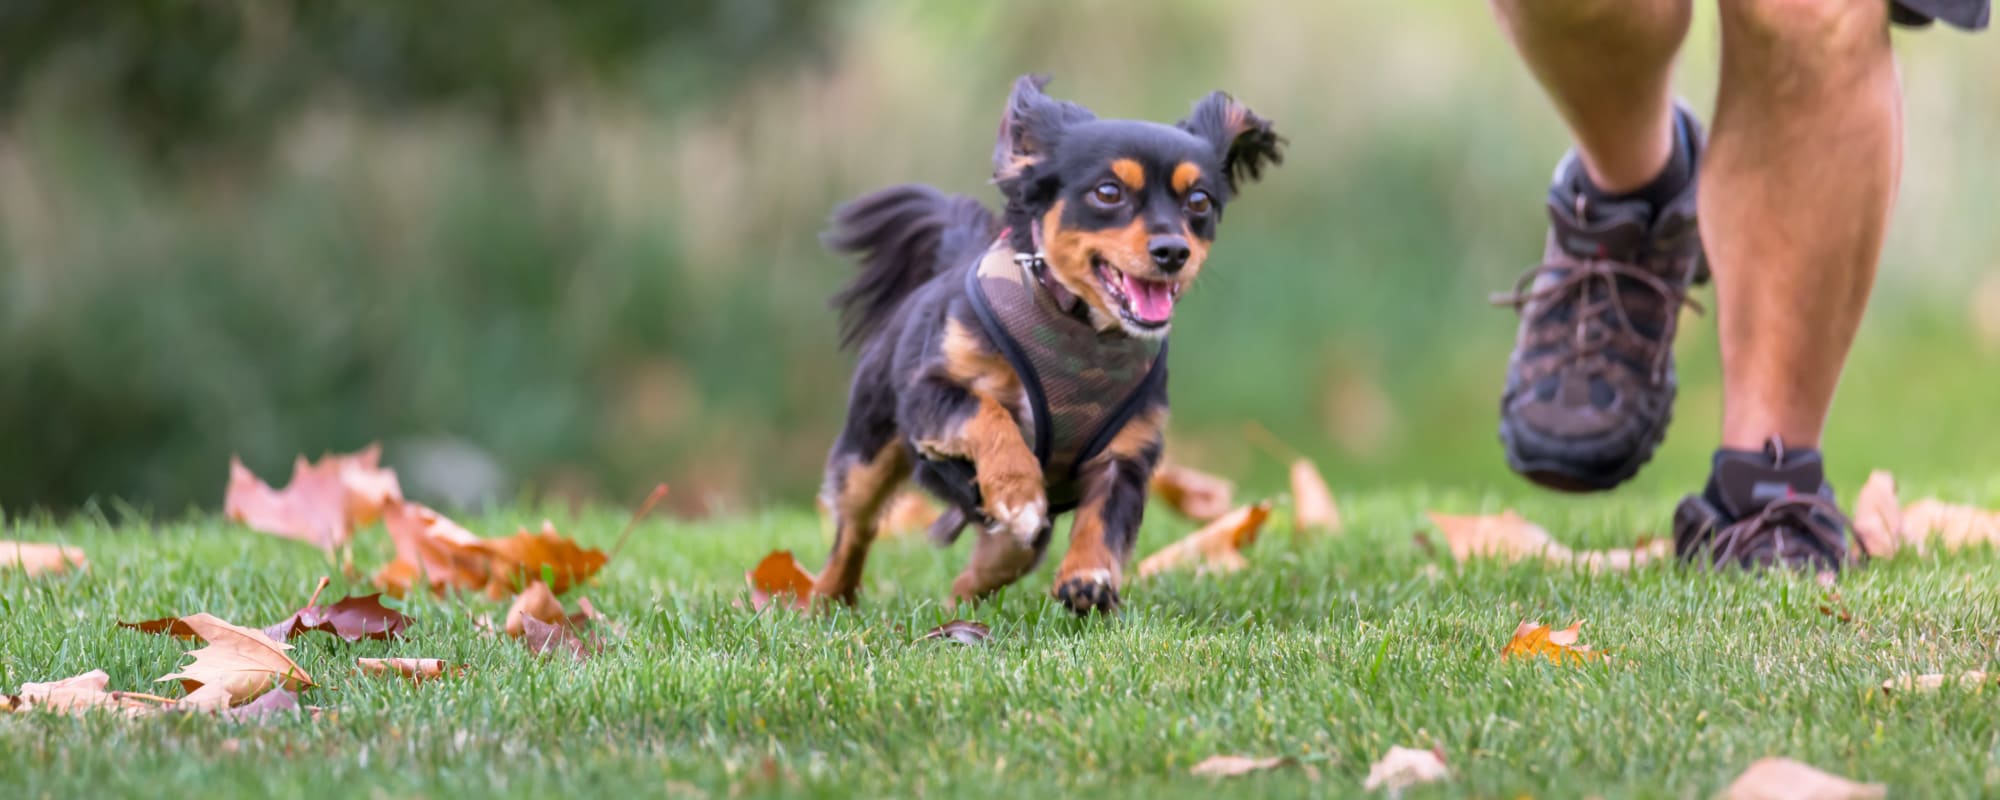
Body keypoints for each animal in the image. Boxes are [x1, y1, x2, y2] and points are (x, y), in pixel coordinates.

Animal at [808, 73, 1280, 612]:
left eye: (1199, 202)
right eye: (1108, 192)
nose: (1173, 251)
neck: (1080, 325)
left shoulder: (1128, 450)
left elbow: (1105, 518)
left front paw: (1087, 576)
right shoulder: (928, 396)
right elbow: (987, 413)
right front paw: (1017, 491)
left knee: (1002, 557)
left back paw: (963, 598)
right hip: (867, 454)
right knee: (856, 527)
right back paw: (826, 597)